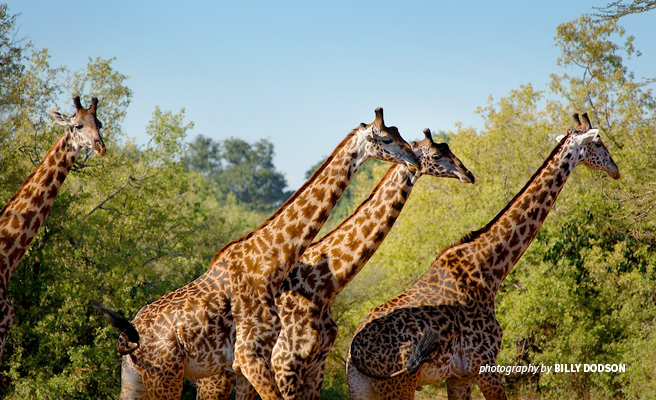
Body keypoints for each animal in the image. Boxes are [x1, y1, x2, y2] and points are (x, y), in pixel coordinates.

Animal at [97, 108, 420, 398]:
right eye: (386, 138)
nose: (414, 159)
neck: (269, 262)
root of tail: (128, 338)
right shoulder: (253, 357)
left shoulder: (255, 361)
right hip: (167, 375)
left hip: (136, 379)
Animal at [348, 112, 620, 400]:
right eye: (598, 142)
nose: (615, 170)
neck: (490, 267)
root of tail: (354, 353)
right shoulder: (484, 364)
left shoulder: (460, 376)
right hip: (400, 385)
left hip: (362, 387)